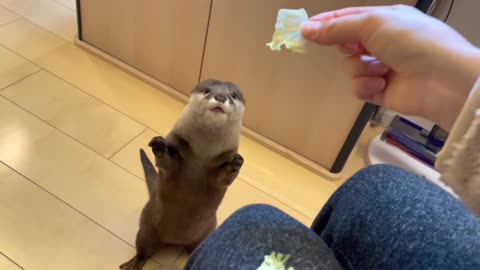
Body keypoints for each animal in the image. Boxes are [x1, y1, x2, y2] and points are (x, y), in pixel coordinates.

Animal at [120, 79, 248, 268]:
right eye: (207, 90)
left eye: (233, 94)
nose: (220, 96)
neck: (204, 151)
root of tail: (173, 241)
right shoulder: (176, 145)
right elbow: (165, 163)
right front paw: (159, 146)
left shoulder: (224, 158)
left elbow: (224, 178)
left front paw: (235, 164)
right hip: (146, 228)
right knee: (142, 251)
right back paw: (131, 264)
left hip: (205, 232)